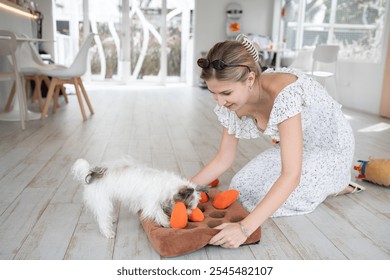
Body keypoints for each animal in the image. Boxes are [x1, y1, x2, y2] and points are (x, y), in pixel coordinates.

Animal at [71, 158, 206, 238]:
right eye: (188, 206)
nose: (190, 214)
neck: (167, 185)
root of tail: (90, 173)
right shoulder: (151, 203)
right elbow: (159, 212)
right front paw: (166, 222)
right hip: (102, 201)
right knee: (102, 218)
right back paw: (108, 232)